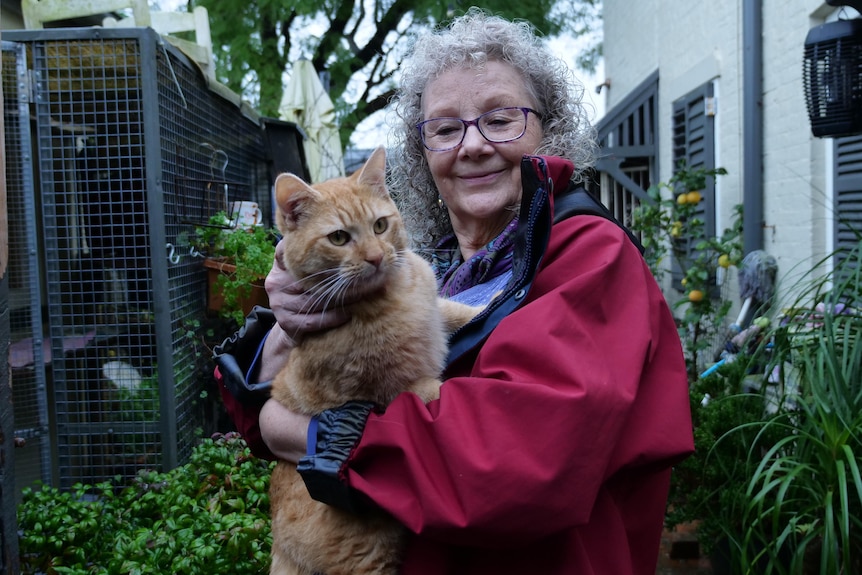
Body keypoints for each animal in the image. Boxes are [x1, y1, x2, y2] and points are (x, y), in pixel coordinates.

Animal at [270, 145, 482, 575]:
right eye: (338, 237)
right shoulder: (360, 396)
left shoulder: (432, 303)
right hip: (367, 557)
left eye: (380, 226)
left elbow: (451, 310)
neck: (390, 295)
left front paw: (488, 306)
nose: (375, 257)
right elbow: (415, 391)